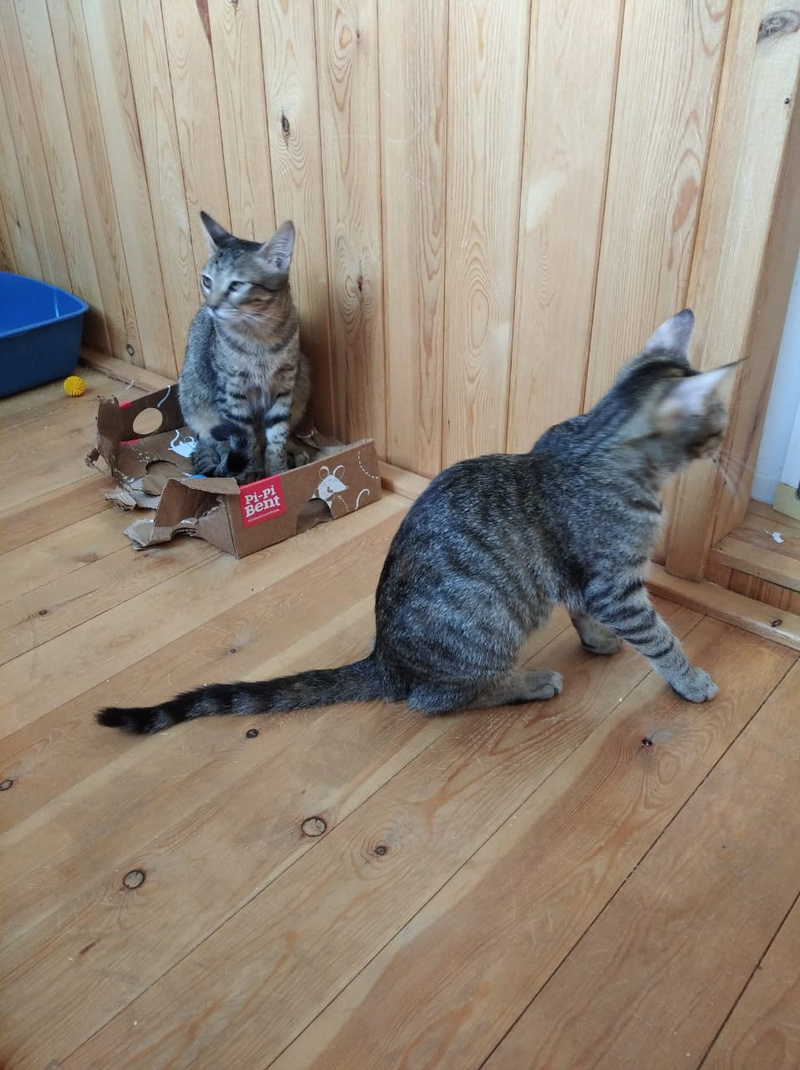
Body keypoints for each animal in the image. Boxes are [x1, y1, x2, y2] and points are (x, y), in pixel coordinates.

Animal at [98, 309, 736, 735]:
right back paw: (526, 683)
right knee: (436, 699)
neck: (601, 446)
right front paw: (689, 679)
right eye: (719, 418)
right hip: (485, 630)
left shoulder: (586, 580)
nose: (725, 444)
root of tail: (385, 660)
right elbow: (661, 637)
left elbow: (584, 613)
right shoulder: (615, 582)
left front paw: (599, 641)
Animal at [178, 212, 311, 484]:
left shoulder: (284, 386)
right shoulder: (232, 392)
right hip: (195, 402)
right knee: (219, 444)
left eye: (236, 285)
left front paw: (278, 470)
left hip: (303, 377)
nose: (212, 305)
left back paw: (294, 450)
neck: (259, 337)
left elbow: (277, 434)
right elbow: (245, 438)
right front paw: (252, 471)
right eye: (207, 281)